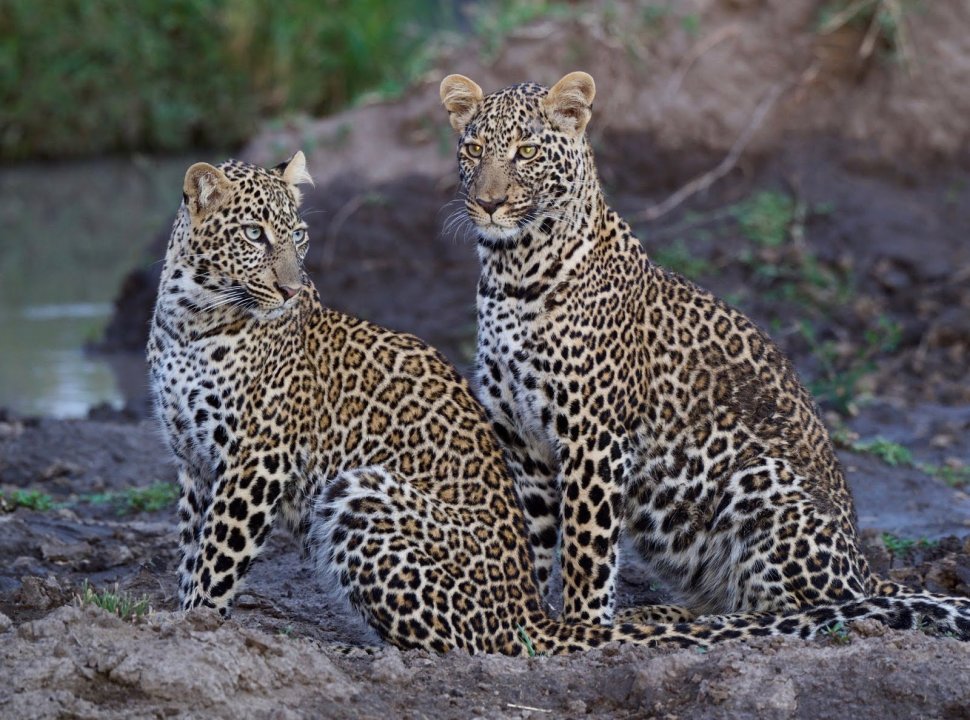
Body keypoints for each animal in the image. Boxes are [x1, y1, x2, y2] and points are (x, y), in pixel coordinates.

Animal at [440, 71, 970, 637]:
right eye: (473, 148)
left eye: (527, 151)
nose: (489, 203)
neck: (511, 275)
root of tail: (866, 567)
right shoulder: (521, 441)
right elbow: (532, 540)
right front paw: (529, 620)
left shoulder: (594, 437)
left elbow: (586, 549)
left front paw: (584, 629)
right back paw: (656, 614)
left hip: (760, 480)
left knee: (809, 609)